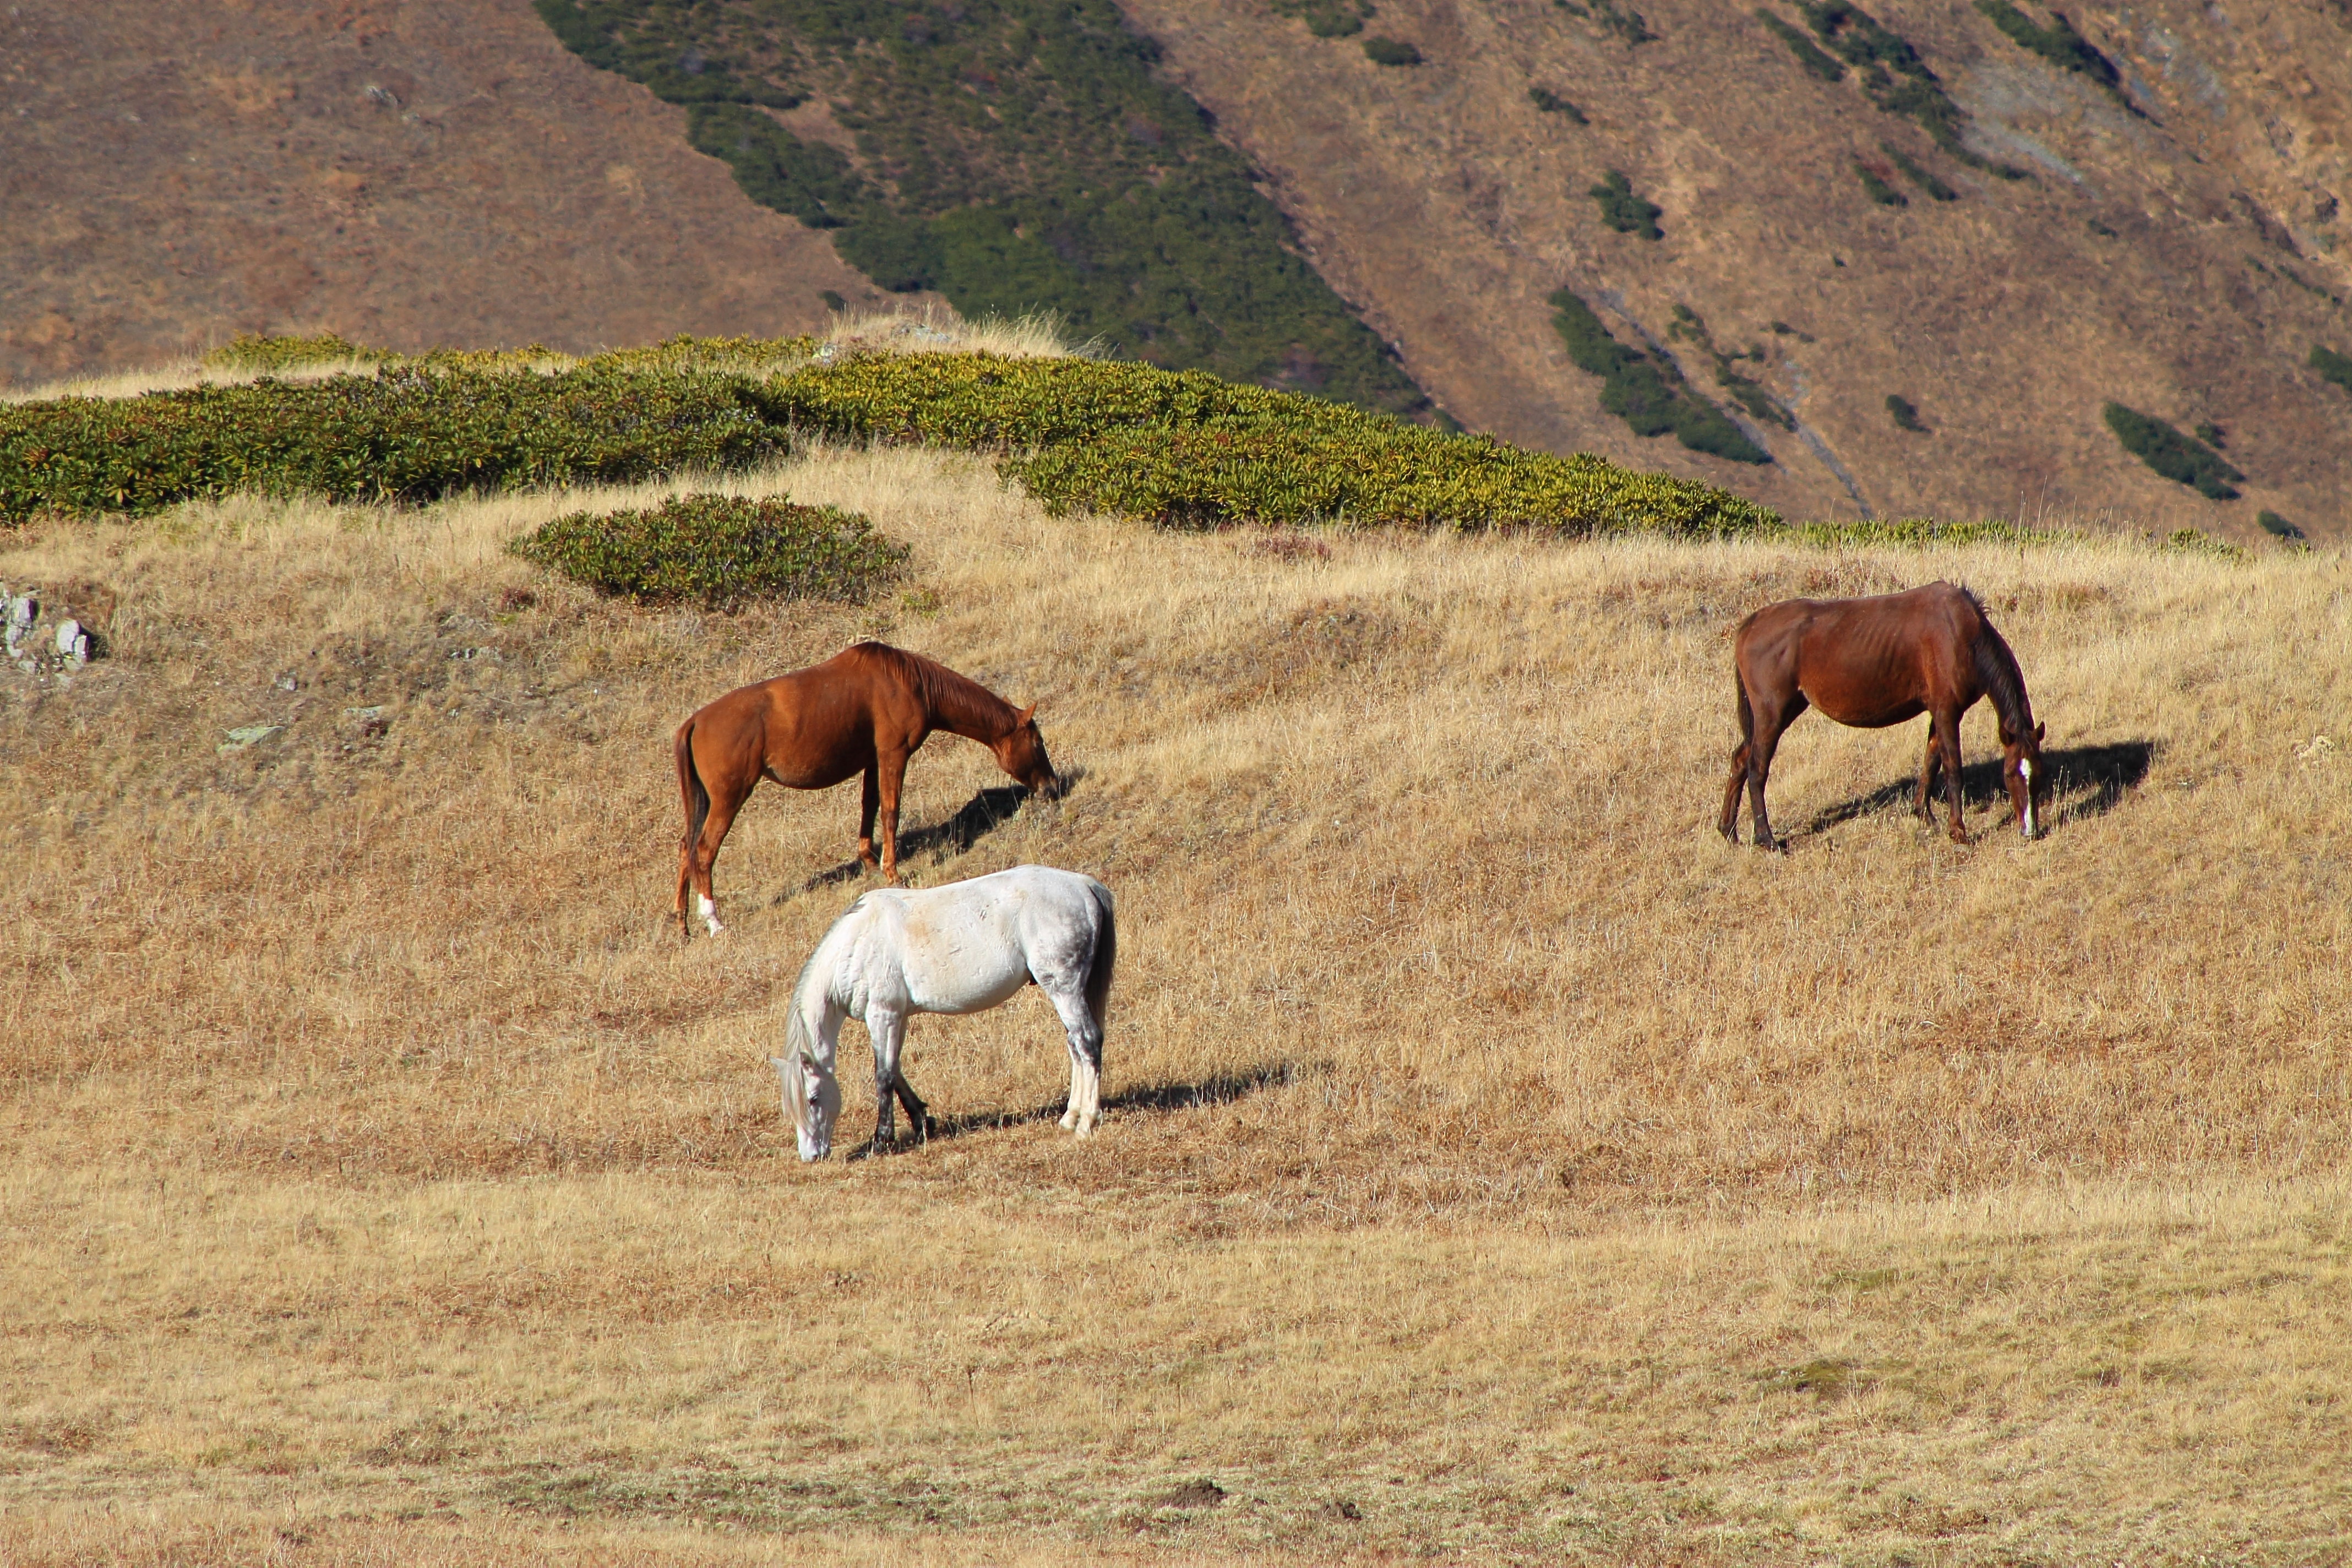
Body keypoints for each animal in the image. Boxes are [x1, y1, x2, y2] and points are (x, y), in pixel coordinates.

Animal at [673, 642, 1060, 939]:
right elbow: (890, 811)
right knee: (704, 851)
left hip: (704, 802)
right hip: (729, 797)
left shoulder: (873, 760)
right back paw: (713, 921)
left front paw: (870, 862)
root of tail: (695, 722)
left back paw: (683, 924)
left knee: (686, 849)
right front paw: (893, 873)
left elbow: (870, 806)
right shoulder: (893, 754)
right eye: (1037, 742)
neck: (910, 683)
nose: (1052, 787)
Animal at [769, 865, 1116, 1161]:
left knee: (1088, 1041)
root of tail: (1084, 885)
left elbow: (883, 1077)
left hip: (1064, 989)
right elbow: (895, 1069)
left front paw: (881, 1141)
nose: (811, 1156)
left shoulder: (883, 1015)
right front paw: (922, 1121)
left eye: (813, 1098)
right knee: (1075, 1045)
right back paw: (1070, 1117)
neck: (857, 943)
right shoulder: (898, 1017)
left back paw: (1086, 1122)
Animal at [1719, 581, 2049, 850]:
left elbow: (1931, 760)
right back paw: (1766, 838)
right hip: (1772, 715)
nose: (2030, 831)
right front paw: (1959, 831)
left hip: (1782, 711)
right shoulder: (1947, 711)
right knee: (1757, 769)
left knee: (1740, 759)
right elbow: (1953, 769)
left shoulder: (1938, 711)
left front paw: (1923, 814)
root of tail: (1750, 625)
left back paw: (1728, 830)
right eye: (2010, 774)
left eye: (2038, 774)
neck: (1961, 635)